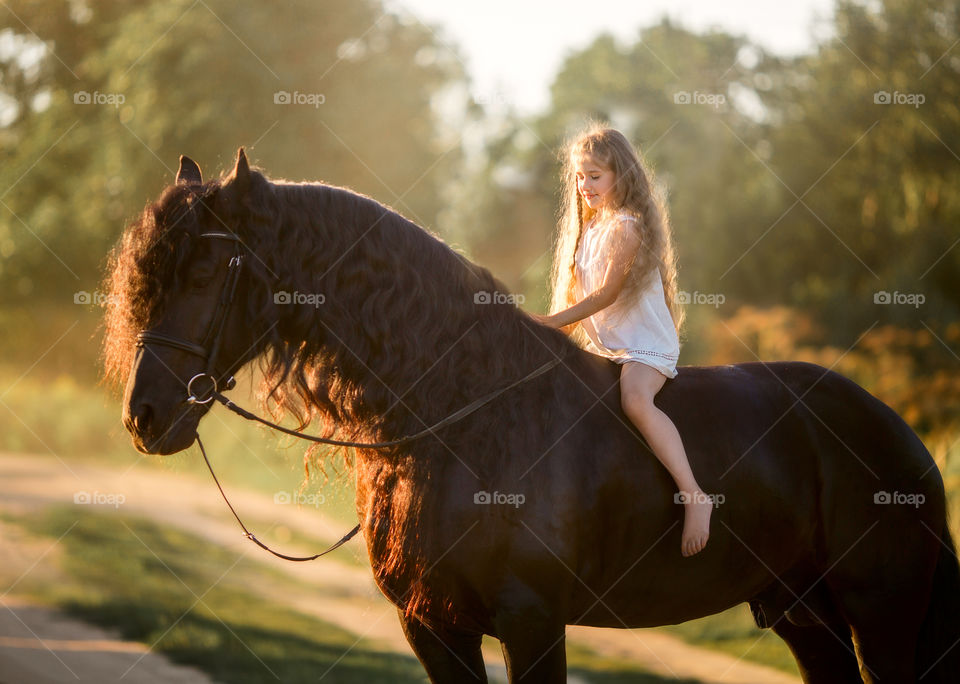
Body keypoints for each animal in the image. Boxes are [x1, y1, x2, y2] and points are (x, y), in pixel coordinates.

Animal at [105, 147, 960, 680]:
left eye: (209, 269)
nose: (145, 416)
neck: (464, 419)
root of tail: (902, 435)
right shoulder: (434, 628)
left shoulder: (533, 624)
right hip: (805, 615)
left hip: (883, 615)